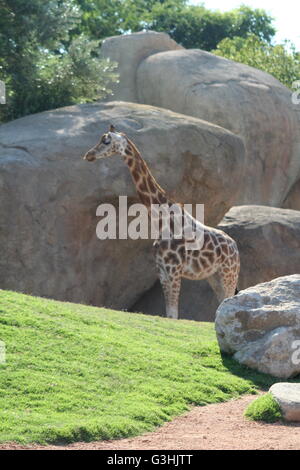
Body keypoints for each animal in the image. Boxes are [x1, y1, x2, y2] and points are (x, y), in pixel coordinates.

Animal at [83, 126, 240, 320]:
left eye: (106, 141)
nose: (88, 155)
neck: (162, 222)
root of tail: (235, 248)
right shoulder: (162, 270)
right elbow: (169, 315)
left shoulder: (174, 270)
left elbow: (173, 315)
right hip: (215, 275)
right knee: (222, 303)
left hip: (229, 272)